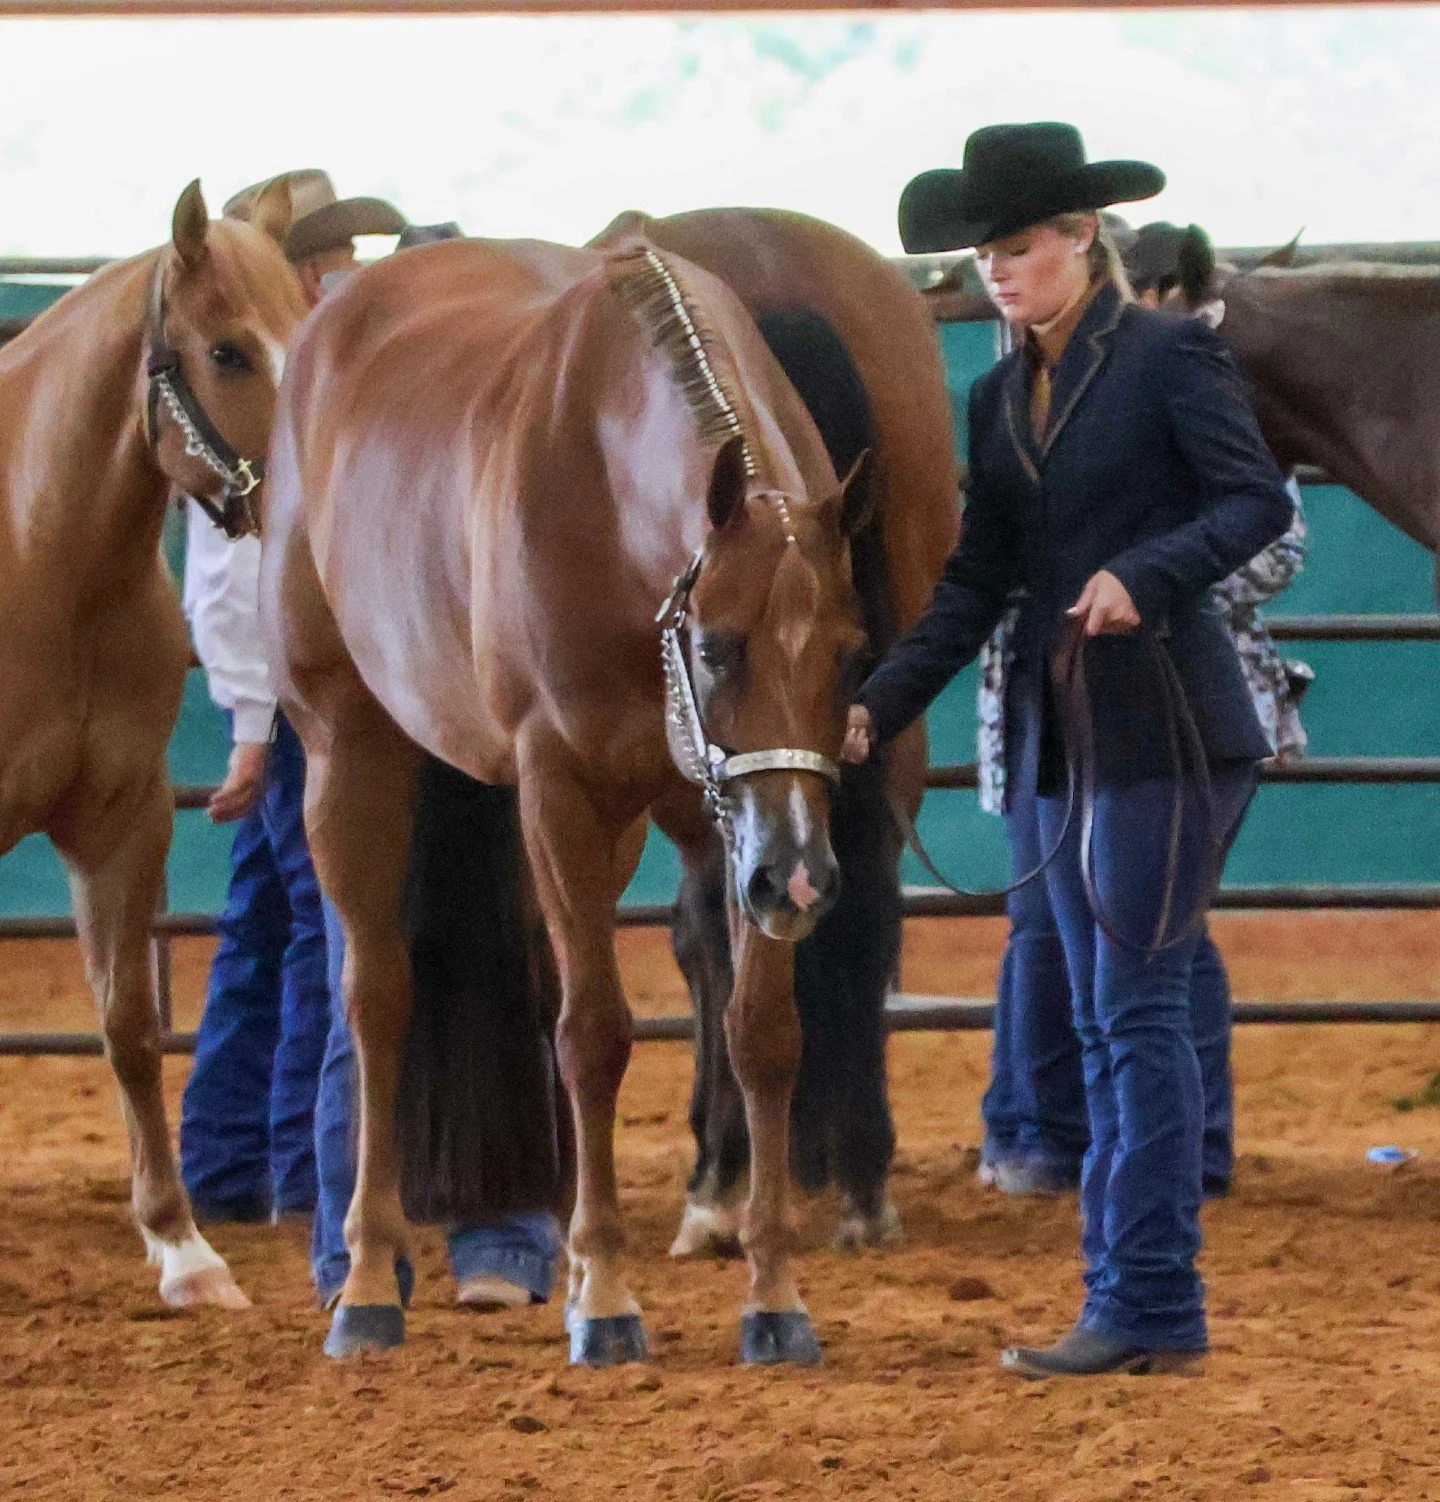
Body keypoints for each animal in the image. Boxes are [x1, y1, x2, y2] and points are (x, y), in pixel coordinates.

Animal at [261, 233, 879, 1365]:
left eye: (852, 656)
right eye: (716, 648)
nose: (804, 879)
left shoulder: (732, 816)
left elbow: (762, 1031)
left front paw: (774, 1293)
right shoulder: (560, 788)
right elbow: (592, 1033)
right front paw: (608, 1299)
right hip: (348, 750)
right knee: (376, 997)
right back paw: (367, 1283)